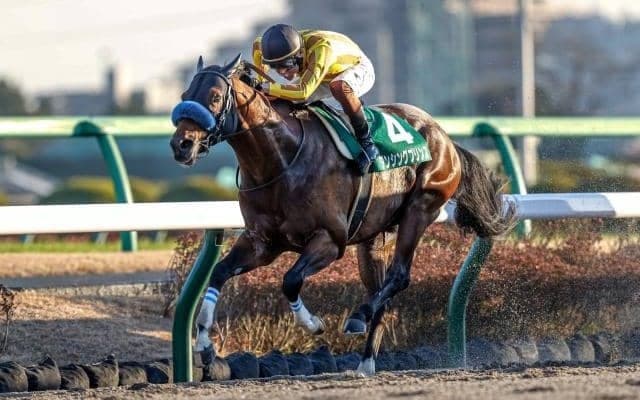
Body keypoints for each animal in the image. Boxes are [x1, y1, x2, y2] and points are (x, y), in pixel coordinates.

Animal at [169, 54, 516, 375]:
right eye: (186, 92)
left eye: (215, 97)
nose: (181, 145)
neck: (280, 160)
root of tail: (445, 137)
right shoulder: (262, 242)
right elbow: (218, 273)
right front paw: (204, 342)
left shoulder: (330, 240)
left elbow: (290, 279)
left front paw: (312, 324)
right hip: (374, 238)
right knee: (380, 290)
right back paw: (365, 362)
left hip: (420, 209)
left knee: (399, 276)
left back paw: (357, 318)